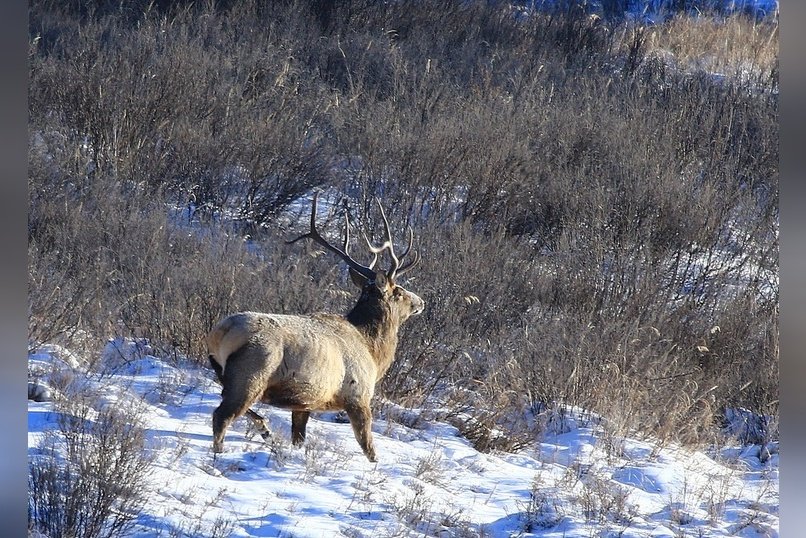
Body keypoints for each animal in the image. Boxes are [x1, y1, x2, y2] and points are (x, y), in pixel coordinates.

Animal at [205, 193, 426, 460]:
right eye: (399, 291)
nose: (421, 302)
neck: (373, 351)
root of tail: (219, 333)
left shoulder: (304, 402)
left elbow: (299, 437)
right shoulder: (358, 395)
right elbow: (368, 448)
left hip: (223, 372)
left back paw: (265, 430)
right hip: (252, 372)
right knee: (222, 415)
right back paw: (220, 454)